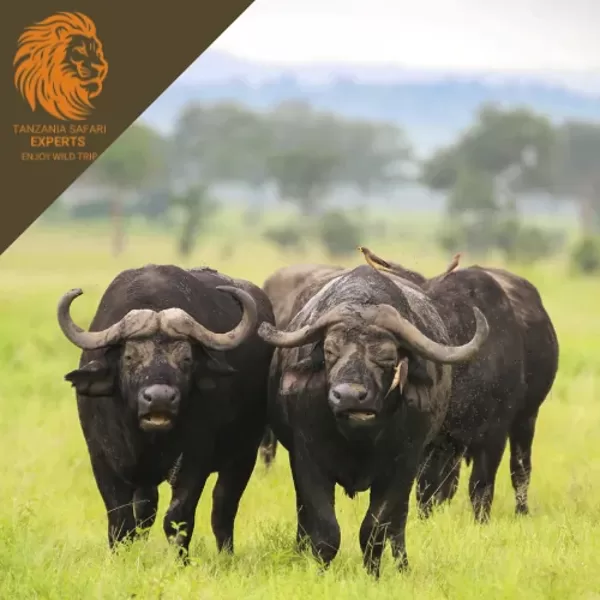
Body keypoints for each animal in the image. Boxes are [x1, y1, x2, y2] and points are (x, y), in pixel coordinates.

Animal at [57, 264, 274, 560]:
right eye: (129, 357)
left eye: (186, 359)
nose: (159, 398)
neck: (146, 438)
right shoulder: (101, 457)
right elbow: (121, 519)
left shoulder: (194, 460)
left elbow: (177, 517)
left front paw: (180, 560)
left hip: (244, 454)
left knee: (223, 507)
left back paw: (226, 556)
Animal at [256, 264, 488, 576]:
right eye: (329, 350)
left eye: (387, 357)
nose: (349, 396)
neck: (358, 439)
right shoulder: (307, 459)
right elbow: (325, 528)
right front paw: (319, 570)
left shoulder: (403, 465)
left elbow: (375, 526)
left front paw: (373, 572)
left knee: (398, 523)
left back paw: (402, 565)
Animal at [358, 248, 560, 520]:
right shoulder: (432, 440)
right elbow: (428, 488)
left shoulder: (495, 431)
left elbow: (481, 485)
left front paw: (481, 521)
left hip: (527, 417)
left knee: (520, 469)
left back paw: (522, 511)